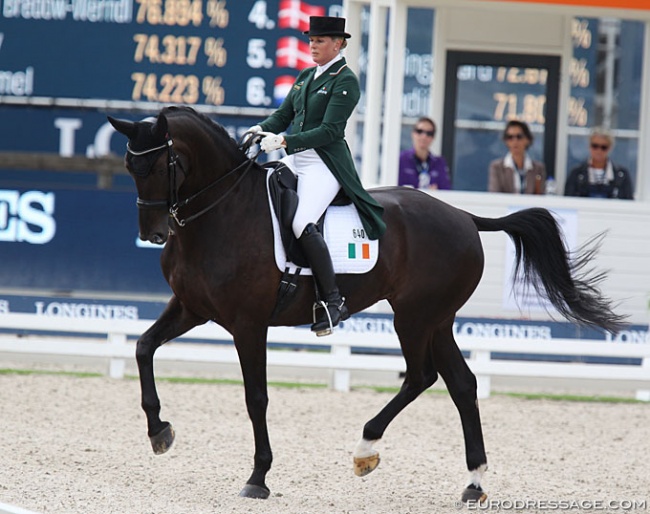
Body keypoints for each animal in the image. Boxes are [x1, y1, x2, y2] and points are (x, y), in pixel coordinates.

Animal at [107, 106, 624, 502]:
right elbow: (143, 348)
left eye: (165, 164)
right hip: (438, 320)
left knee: (421, 376)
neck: (222, 212)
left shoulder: (248, 324)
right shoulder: (191, 308)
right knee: (461, 384)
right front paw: (159, 431)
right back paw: (473, 482)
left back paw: (365, 449)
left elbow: (256, 397)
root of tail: (464, 216)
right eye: (131, 168)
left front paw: (258, 477)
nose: (153, 234)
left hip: (414, 317)